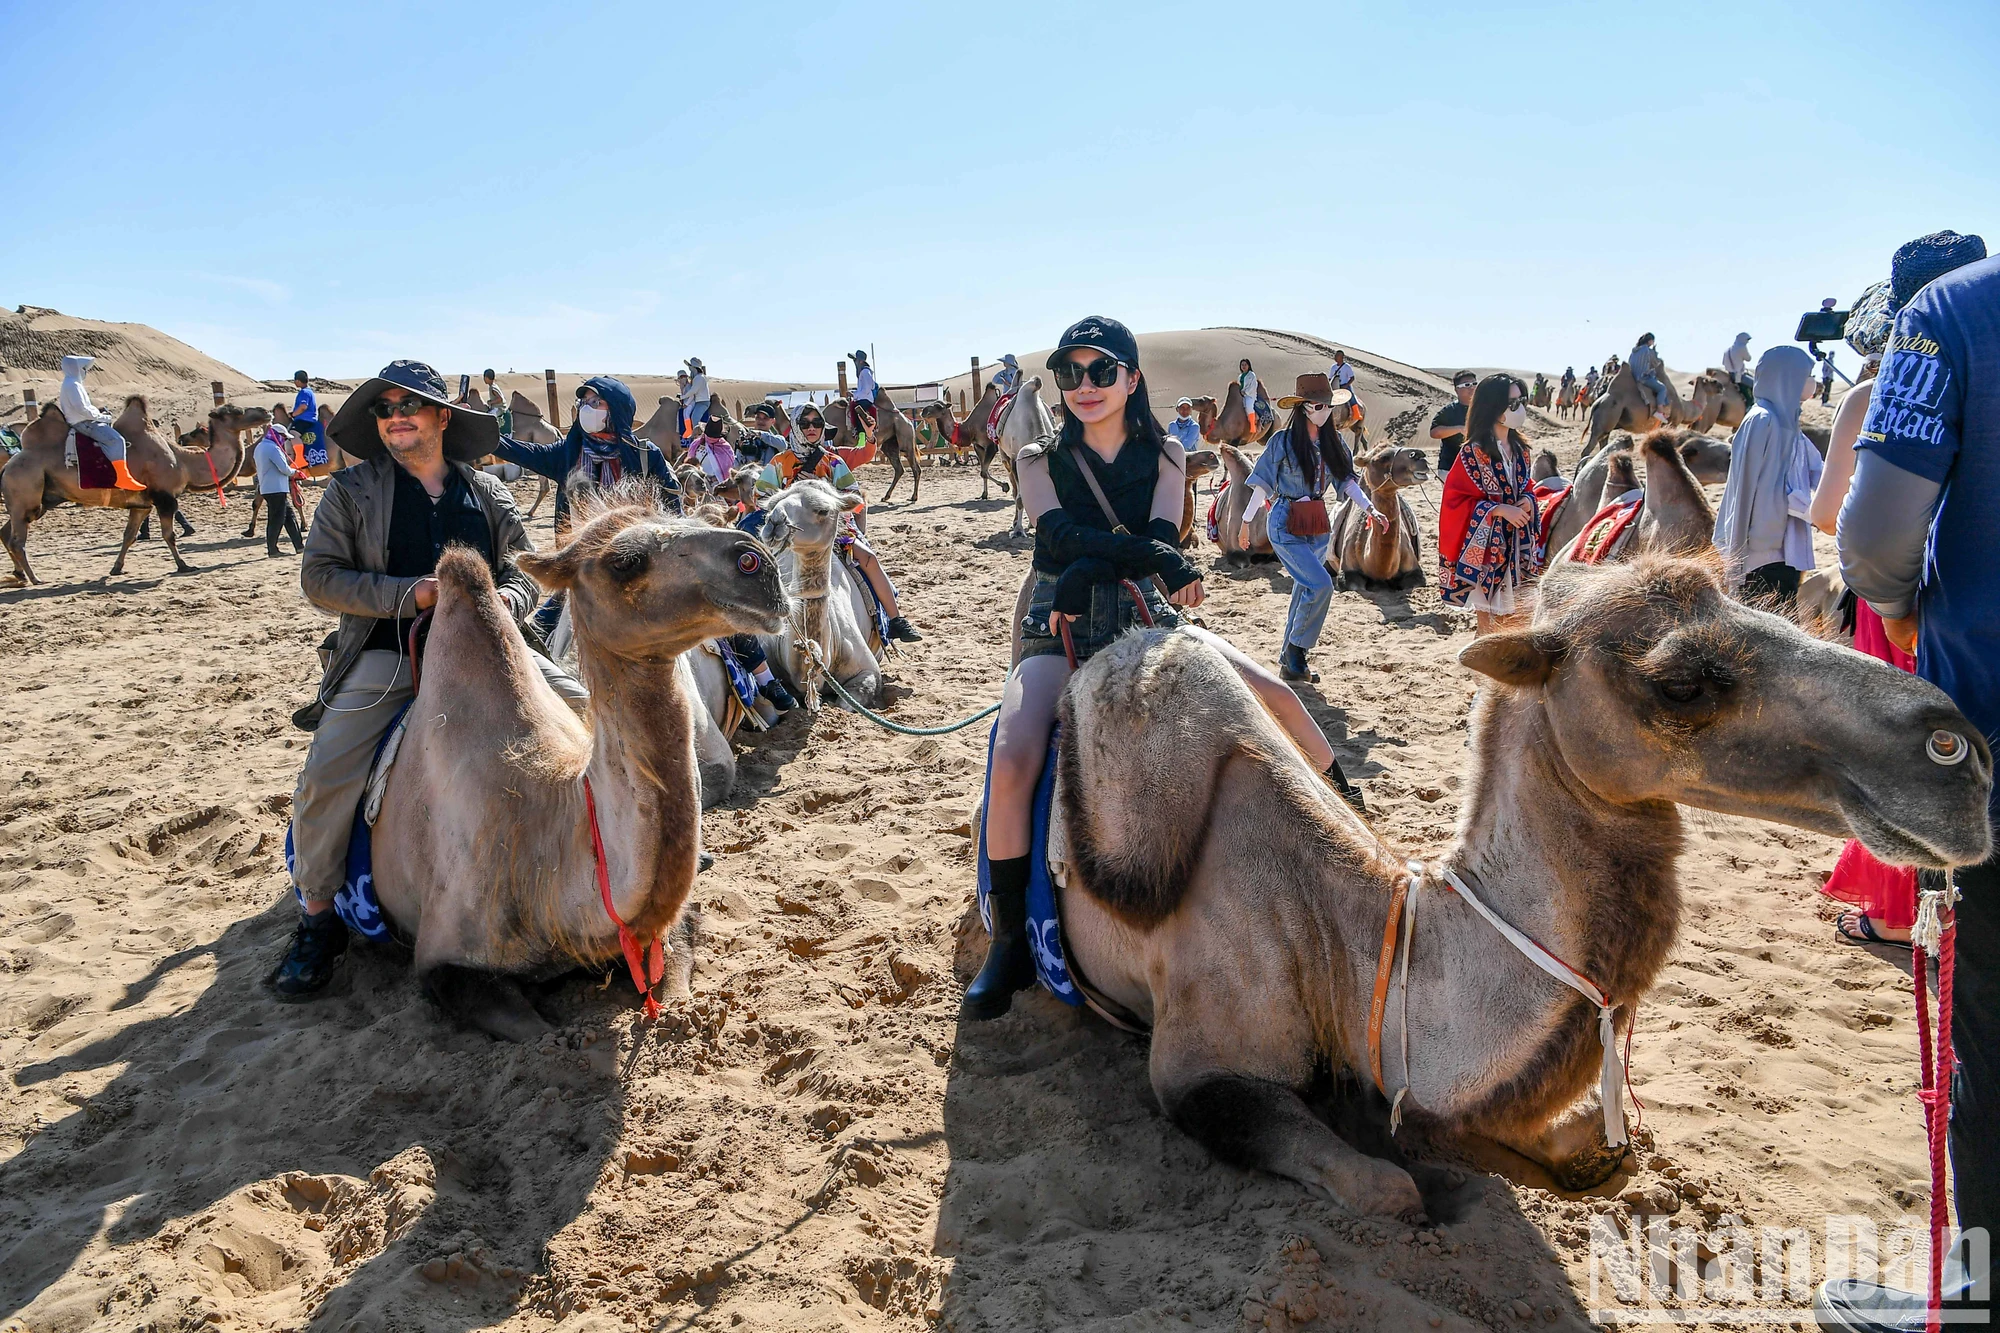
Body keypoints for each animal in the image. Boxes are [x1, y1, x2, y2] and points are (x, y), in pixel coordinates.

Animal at [1, 396, 252, 580]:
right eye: (236, 412)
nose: (260, 411)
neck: (183, 461)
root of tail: (7, 467)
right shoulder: (165, 498)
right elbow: (168, 535)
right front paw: (183, 565)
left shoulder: (142, 505)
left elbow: (129, 536)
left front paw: (116, 568)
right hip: (26, 489)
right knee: (17, 541)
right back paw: (35, 578)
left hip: (38, 500)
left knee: (7, 532)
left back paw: (20, 575)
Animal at [1040, 548, 1992, 1216]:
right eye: (1681, 682)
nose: (1957, 750)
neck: (1365, 951)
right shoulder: (1201, 1067)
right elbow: (1392, 1188)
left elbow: (1600, 1150)